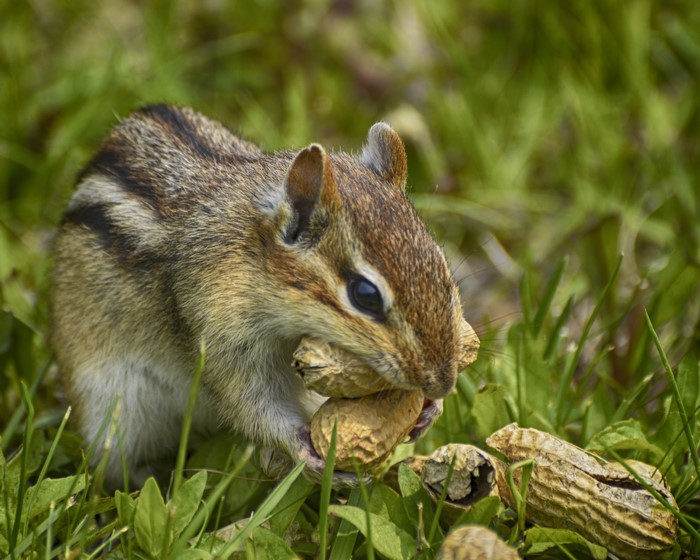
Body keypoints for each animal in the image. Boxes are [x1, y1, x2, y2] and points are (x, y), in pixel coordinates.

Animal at [49, 105, 472, 487]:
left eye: (440, 266)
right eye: (365, 294)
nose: (441, 383)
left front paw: (429, 410)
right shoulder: (219, 337)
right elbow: (251, 406)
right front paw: (306, 451)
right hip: (113, 411)